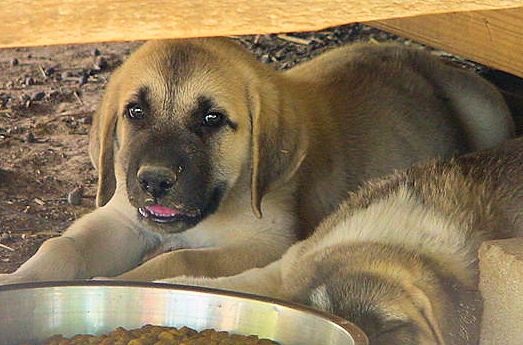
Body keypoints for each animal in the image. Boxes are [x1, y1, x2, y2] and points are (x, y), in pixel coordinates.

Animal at [0, 38, 516, 284]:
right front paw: (20, 281)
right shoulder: (122, 217)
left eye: (212, 119)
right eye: (135, 112)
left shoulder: (271, 242)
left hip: (489, 117)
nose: (154, 181)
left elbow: (183, 260)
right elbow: (61, 246)